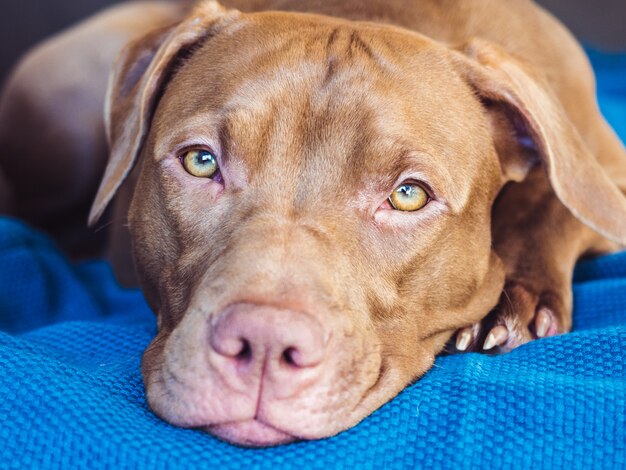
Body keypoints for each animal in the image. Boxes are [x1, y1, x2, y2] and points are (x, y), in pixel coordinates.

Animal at [1, 0, 624, 446]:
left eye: (407, 195)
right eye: (201, 161)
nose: (264, 344)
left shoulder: (606, 172)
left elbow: (556, 197)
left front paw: (514, 298)